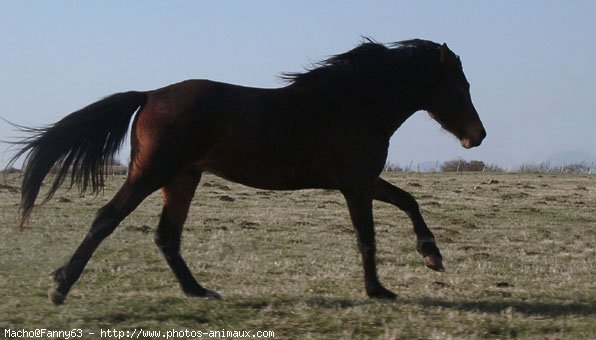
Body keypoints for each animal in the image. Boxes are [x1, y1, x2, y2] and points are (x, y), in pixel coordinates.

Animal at [8, 38, 484, 304]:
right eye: (461, 86)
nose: (476, 137)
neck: (352, 104)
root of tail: (149, 95)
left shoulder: (363, 179)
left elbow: (408, 200)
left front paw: (432, 256)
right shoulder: (353, 184)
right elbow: (367, 236)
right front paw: (378, 290)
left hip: (183, 178)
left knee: (166, 237)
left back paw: (198, 291)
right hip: (151, 173)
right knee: (106, 219)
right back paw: (60, 286)